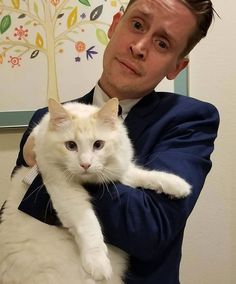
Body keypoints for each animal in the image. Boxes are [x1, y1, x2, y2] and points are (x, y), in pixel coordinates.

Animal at [0, 98, 191, 284]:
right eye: (71, 146)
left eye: (98, 145)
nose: (85, 164)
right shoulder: (63, 187)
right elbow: (89, 225)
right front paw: (98, 264)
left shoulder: (116, 172)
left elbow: (143, 175)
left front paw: (177, 185)